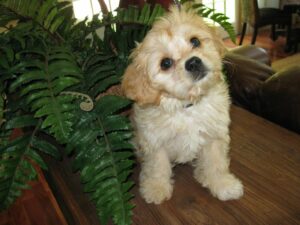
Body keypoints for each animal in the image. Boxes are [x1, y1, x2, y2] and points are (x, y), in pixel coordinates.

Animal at [120, 6, 243, 205]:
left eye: (195, 41)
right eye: (165, 63)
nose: (193, 62)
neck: (188, 106)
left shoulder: (214, 136)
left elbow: (216, 163)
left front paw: (223, 184)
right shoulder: (155, 142)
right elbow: (157, 166)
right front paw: (156, 188)